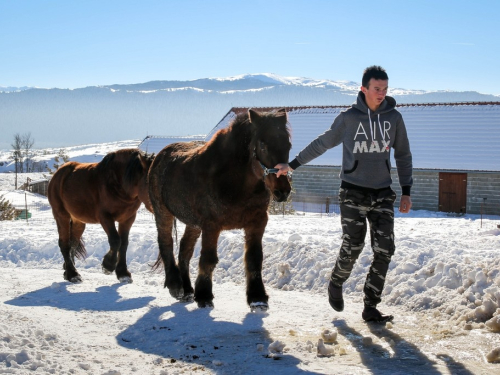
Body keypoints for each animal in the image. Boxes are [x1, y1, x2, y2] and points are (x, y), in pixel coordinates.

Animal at [49, 148, 155, 284]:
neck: (119, 185)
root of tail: (59, 174)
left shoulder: (127, 219)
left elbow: (124, 244)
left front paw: (123, 273)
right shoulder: (105, 217)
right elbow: (115, 240)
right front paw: (108, 265)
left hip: (78, 221)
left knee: (73, 243)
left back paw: (67, 269)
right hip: (62, 216)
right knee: (64, 244)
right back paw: (73, 274)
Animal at [146, 108, 292, 312]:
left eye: (288, 145)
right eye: (262, 146)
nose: (282, 191)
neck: (236, 182)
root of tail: (159, 156)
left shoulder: (257, 222)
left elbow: (254, 259)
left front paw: (257, 298)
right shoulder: (211, 225)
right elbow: (208, 259)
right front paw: (204, 296)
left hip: (193, 224)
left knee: (184, 250)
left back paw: (187, 290)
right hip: (163, 212)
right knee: (166, 243)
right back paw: (176, 286)